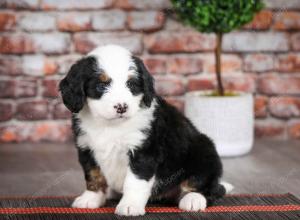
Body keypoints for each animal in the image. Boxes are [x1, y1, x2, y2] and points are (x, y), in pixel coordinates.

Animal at [59, 43, 232, 216]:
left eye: (131, 84)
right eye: (101, 85)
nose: (121, 107)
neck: (110, 125)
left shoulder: (143, 151)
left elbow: (134, 182)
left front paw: (130, 205)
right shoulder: (86, 148)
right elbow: (93, 175)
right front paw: (91, 198)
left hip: (204, 152)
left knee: (209, 187)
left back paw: (193, 199)